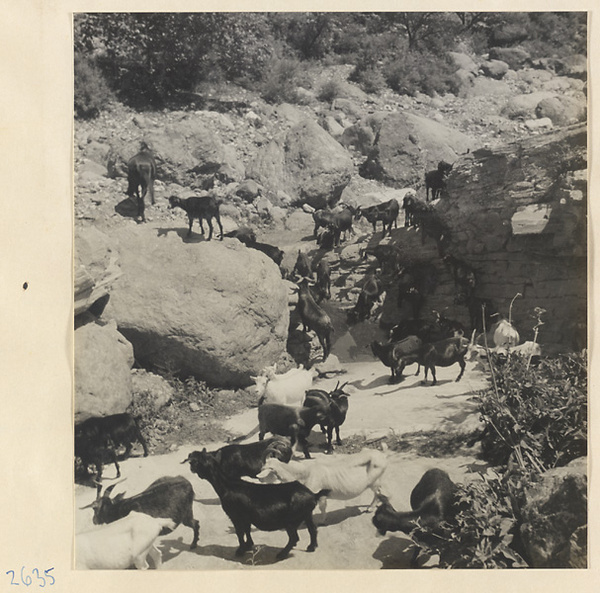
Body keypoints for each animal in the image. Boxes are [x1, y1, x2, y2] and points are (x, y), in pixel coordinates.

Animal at [186, 448, 328, 560]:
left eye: (195, 461)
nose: (191, 468)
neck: (227, 485)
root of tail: (313, 495)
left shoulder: (235, 516)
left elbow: (240, 533)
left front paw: (240, 551)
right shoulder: (246, 516)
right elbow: (247, 531)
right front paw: (249, 545)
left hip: (291, 521)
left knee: (294, 538)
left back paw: (281, 554)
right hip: (307, 514)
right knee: (312, 529)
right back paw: (311, 547)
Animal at [258, 448, 390, 520]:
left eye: (264, 469)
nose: (259, 479)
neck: (305, 472)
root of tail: (383, 455)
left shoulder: (316, 492)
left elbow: (320, 507)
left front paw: (321, 521)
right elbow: (322, 506)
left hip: (374, 481)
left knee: (378, 492)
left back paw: (370, 508)